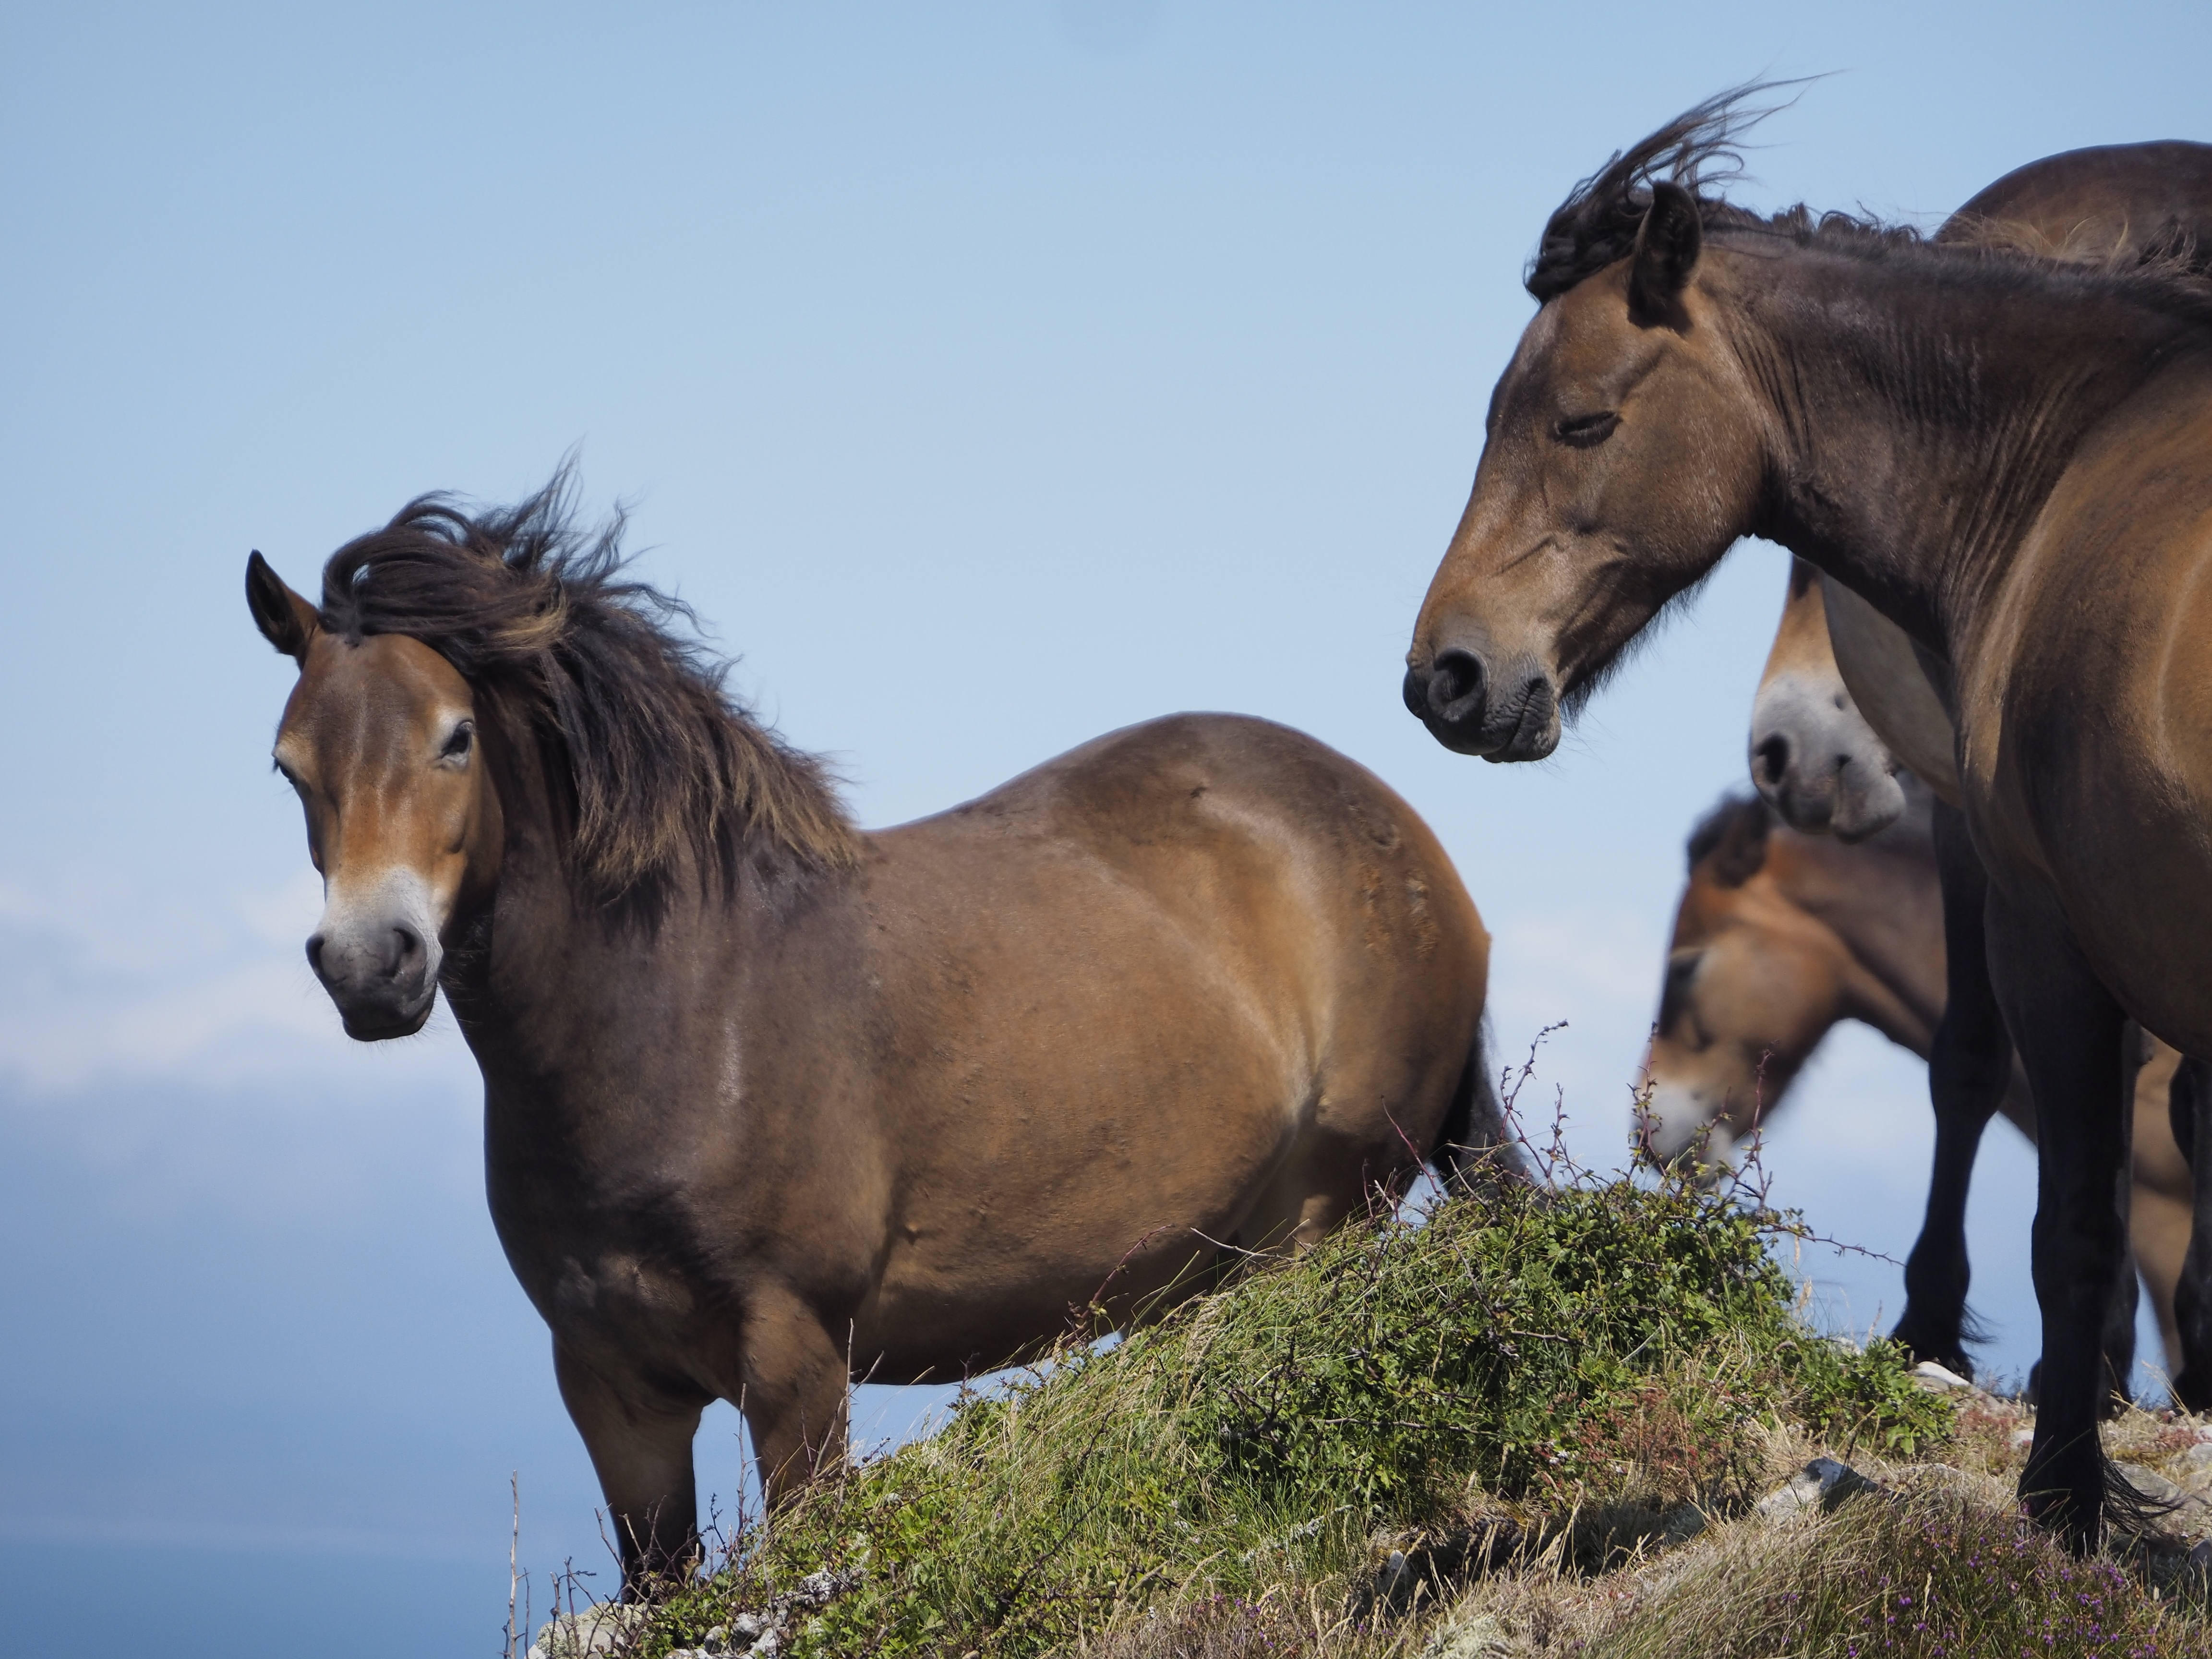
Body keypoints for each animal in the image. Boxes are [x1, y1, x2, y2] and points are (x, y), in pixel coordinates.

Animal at [246, 478, 1500, 1590]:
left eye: (456, 737)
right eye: (288, 763)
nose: (370, 964)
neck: (677, 1012)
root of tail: (1409, 840)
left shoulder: (796, 1359)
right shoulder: (612, 1390)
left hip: (1317, 1230)